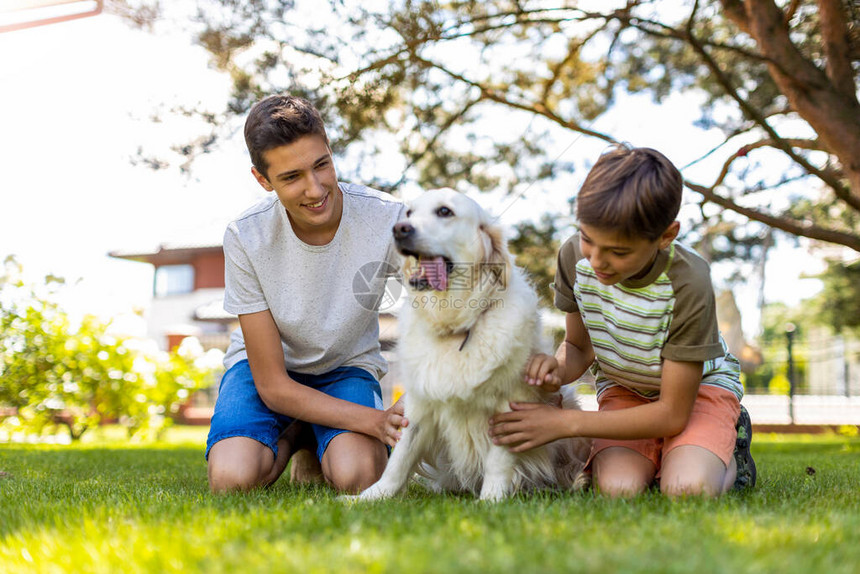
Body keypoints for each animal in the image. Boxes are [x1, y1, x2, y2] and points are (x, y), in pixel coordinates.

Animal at [352, 190, 588, 504]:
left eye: (444, 211)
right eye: (409, 213)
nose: (400, 229)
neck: (456, 324)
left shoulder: (510, 406)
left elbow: (498, 462)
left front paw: (491, 501)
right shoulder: (420, 404)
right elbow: (400, 458)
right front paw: (369, 497)